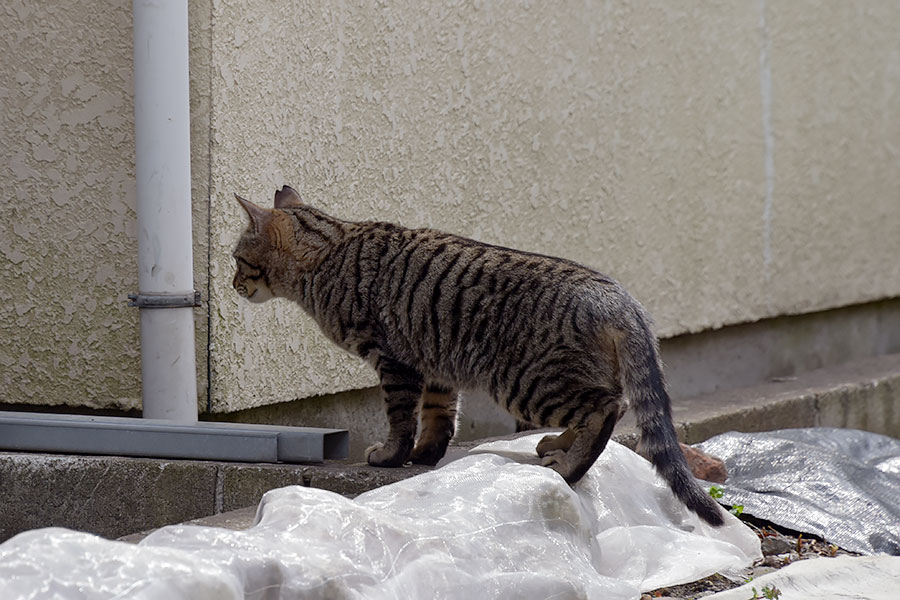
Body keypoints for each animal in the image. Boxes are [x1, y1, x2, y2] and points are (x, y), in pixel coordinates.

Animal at [232, 186, 724, 524]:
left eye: (237, 258)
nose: (233, 284)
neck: (330, 249)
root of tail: (620, 297)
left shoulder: (393, 361)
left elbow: (401, 419)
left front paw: (392, 455)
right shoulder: (434, 367)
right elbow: (438, 419)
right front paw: (424, 456)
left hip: (525, 382)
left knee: (606, 407)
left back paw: (569, 466)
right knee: (605, 409)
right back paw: (557, 446)